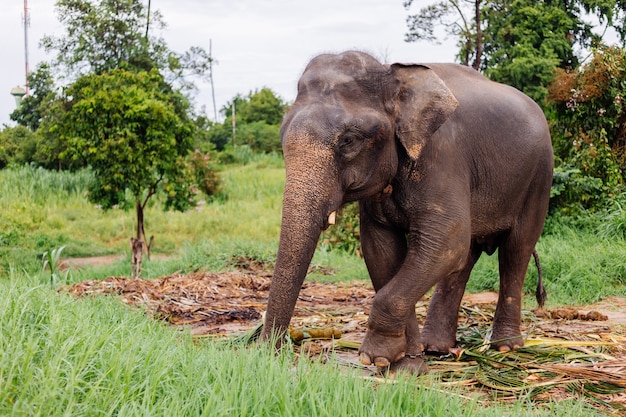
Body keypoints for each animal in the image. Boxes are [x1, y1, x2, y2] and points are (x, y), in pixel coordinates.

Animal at [258, 50, 552, 372]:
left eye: (349, 140)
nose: (270, 354)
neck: (393, 74)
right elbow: (382, 250)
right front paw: (404, 367)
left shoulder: (442, 156)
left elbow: (446, 240)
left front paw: (375, 356)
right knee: (464, 258)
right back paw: (436, 347)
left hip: (539, 176)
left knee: (515, 250)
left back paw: (505, 346)